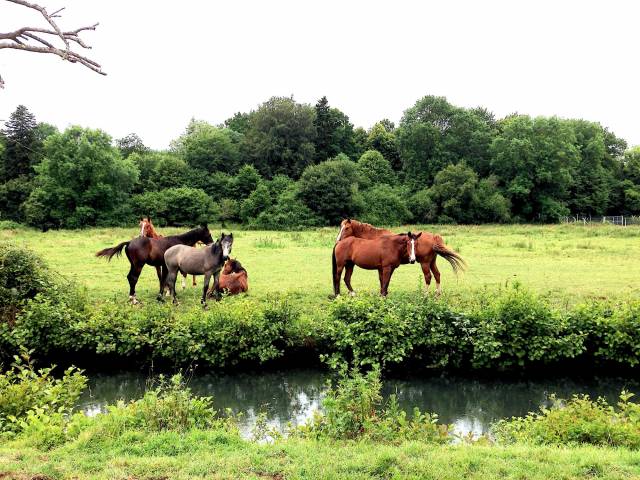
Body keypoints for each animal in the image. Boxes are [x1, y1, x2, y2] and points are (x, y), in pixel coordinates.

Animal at [336, 219, 464, 294]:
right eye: (340, 227)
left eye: (346, 228)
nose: (338, 241)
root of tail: (433, 237)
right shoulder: (382, 267)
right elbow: (382, 280)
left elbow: (383, 280)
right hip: (432, 262)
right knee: (437, 275)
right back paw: (437, 294)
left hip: (425, 263)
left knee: (428, 277)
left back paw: (425, 295)